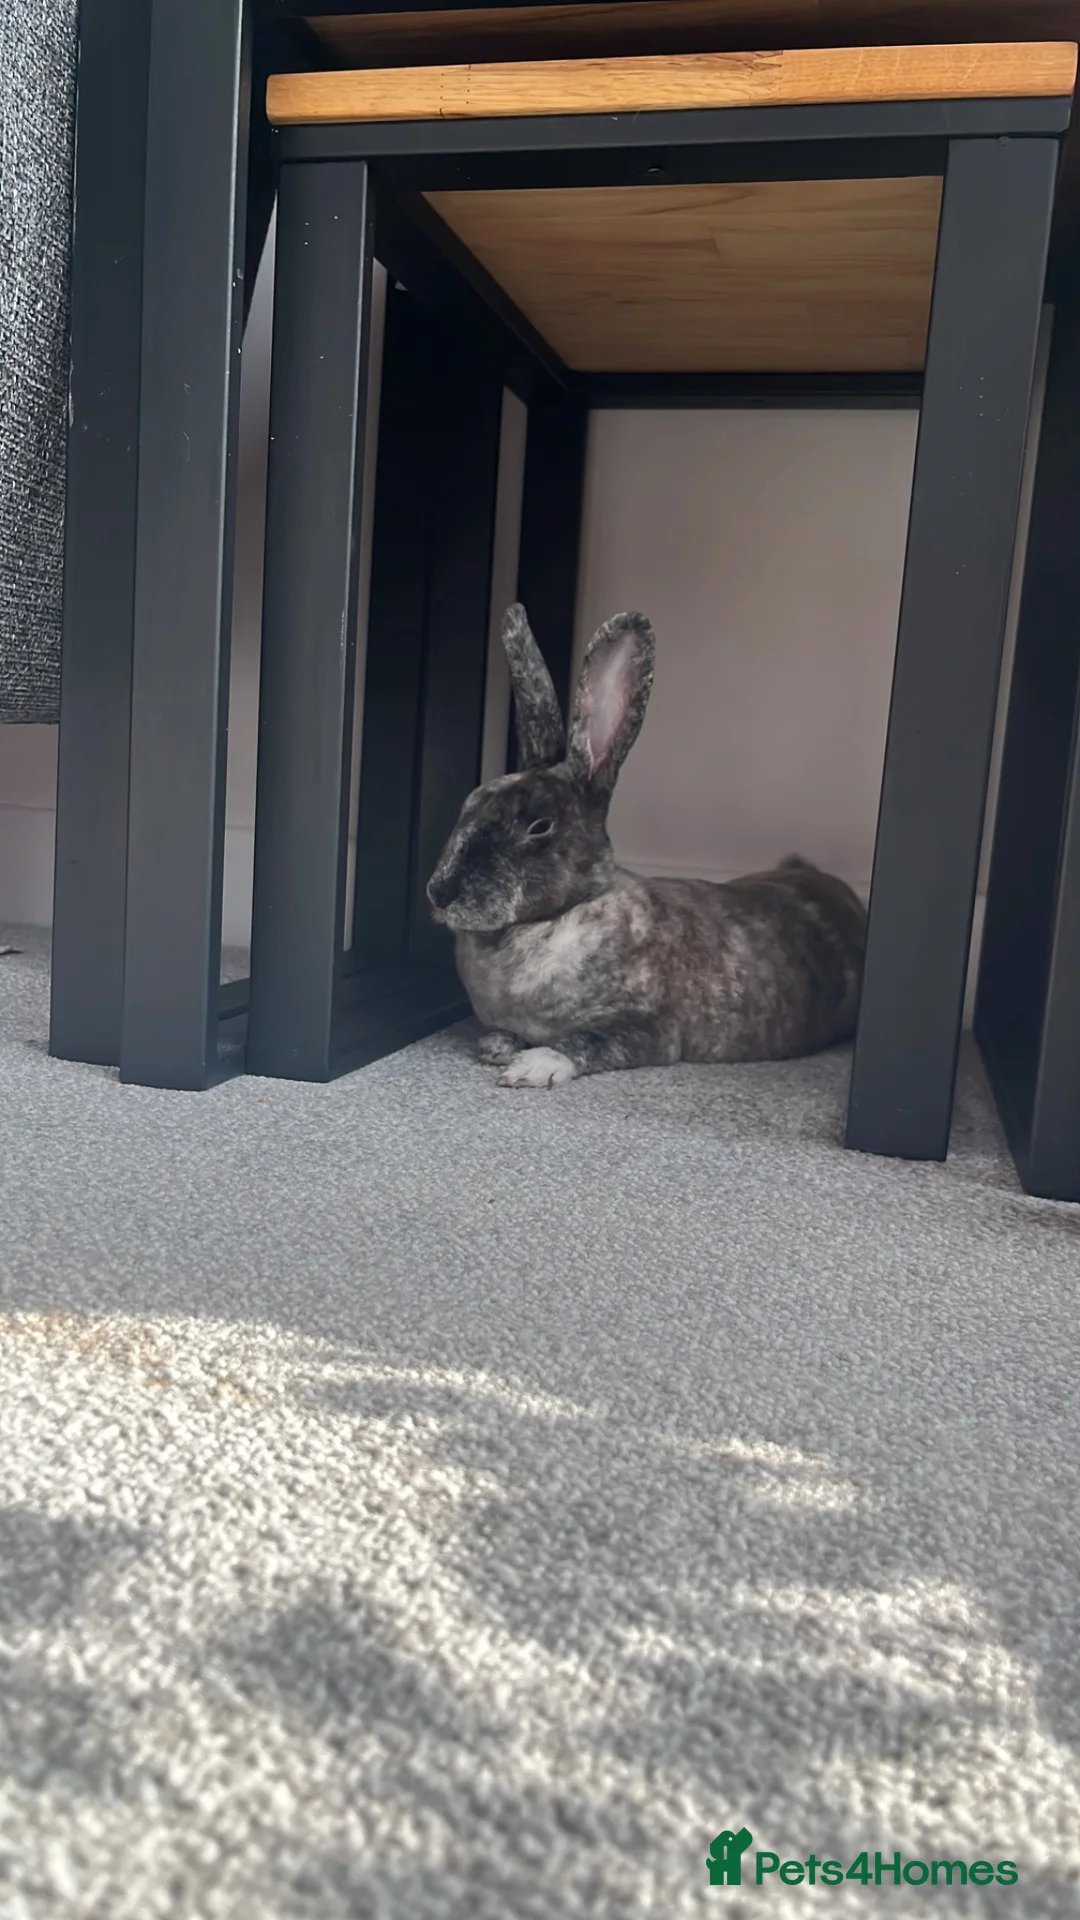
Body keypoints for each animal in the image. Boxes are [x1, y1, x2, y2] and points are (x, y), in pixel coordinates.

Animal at [426, 603, 867, 1089]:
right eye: (472, 801)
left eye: (539, 826)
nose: (440, 894)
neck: (554, 918)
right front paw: (497, 1046)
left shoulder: (648, 1030)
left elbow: (587, 1043)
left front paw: (532, 1067)